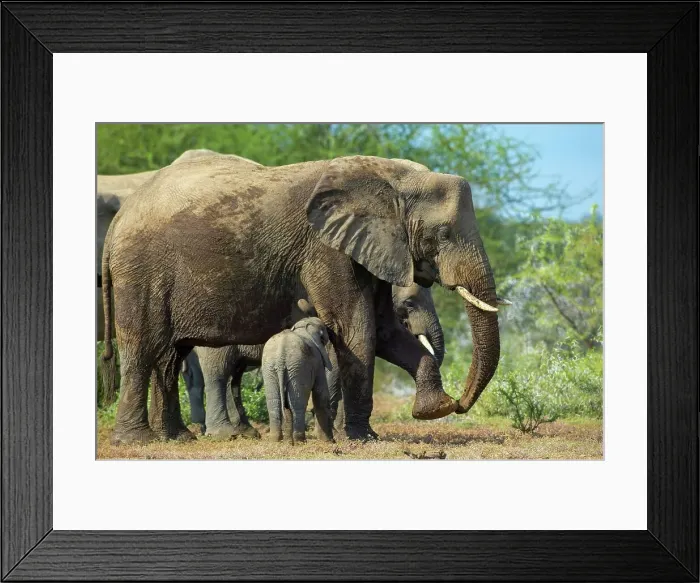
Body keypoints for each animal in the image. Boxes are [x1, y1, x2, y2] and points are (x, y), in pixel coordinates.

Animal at [261, 313, 335, 444]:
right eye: (325, 335)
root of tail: (280, 356)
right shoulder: (318, 361)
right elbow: (320, 394)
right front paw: (329, 441)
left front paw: (288, 443)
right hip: (298, 367)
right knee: (297, 403)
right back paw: (300, 441)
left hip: (269, 368)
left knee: (274, 402)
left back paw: (276, 440)